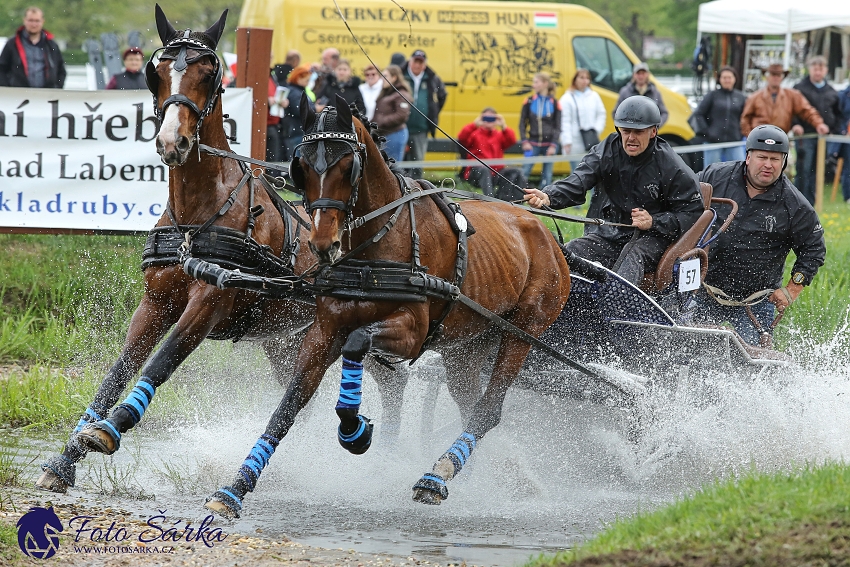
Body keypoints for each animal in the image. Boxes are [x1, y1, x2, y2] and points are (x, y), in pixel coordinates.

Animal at [38, 6, 410, 494]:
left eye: (208, 71)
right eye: (157, 73)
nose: (171, 141)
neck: (197, 214)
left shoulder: (208, 302)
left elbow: (163, 361)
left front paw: (111, 428)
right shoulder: (154, 302)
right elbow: (117, 372)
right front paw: (65, 460)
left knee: (395, 379)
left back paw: (391, 455)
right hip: (288, 338)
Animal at [201, 94, 568, 520]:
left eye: (349, 166)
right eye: (302, 166)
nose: (322, 244)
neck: (377, 244)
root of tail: (546, 233)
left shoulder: (411, 333)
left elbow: (357, 342)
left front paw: (353, 430)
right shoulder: (324, 330)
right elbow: (289, 404)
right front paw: (235, 487)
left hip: (523, 331)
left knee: (488, 408)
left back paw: (438, 475)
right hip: (468, 345)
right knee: (469, 402)